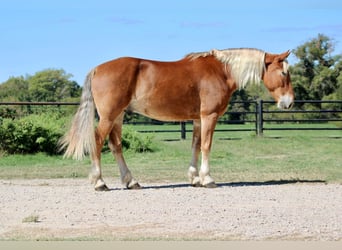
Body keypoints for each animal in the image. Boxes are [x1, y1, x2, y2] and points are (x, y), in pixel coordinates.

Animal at [59, 47, 294, 190]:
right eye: (283, 73)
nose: (289, 102)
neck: (221, 71)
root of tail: (97, 69)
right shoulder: (209, 116)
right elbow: (207, 146)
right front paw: (208, 179)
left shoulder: (198, 119)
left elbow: (196, 145)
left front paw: (194, 178)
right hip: (109, 117)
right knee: (98, 142)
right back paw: (99, 182)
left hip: (118, 116)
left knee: (115, 146)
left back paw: (131, 181)